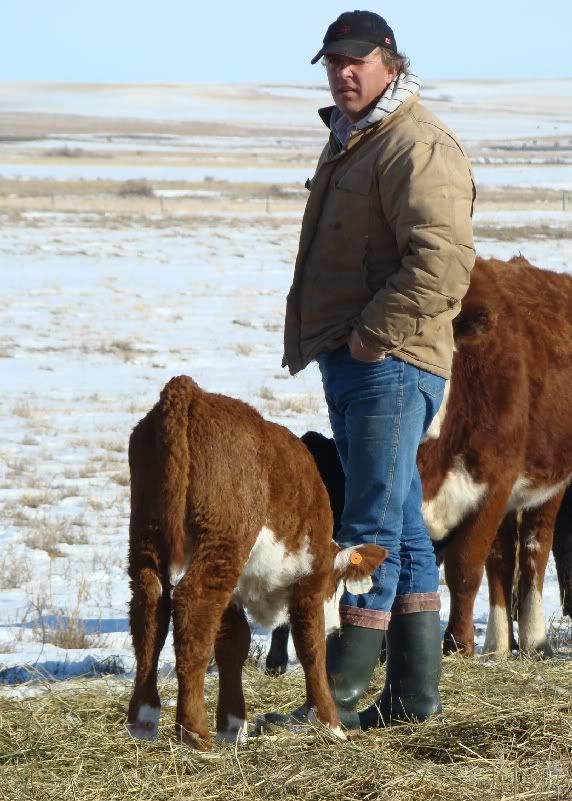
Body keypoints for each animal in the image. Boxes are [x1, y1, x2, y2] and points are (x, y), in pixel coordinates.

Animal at [126, 375, 386, 749]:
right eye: (336, 585)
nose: (338, 625)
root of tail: (191, 393)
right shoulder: (310, 577)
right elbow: (310, 645)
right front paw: (329, 722)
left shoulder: (237, 588)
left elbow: (233, 643)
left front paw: (233, 727)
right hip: (222, 543)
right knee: (191, 605)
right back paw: (193, 731)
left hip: (148, 532)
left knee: (150, 607)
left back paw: (143, 720)